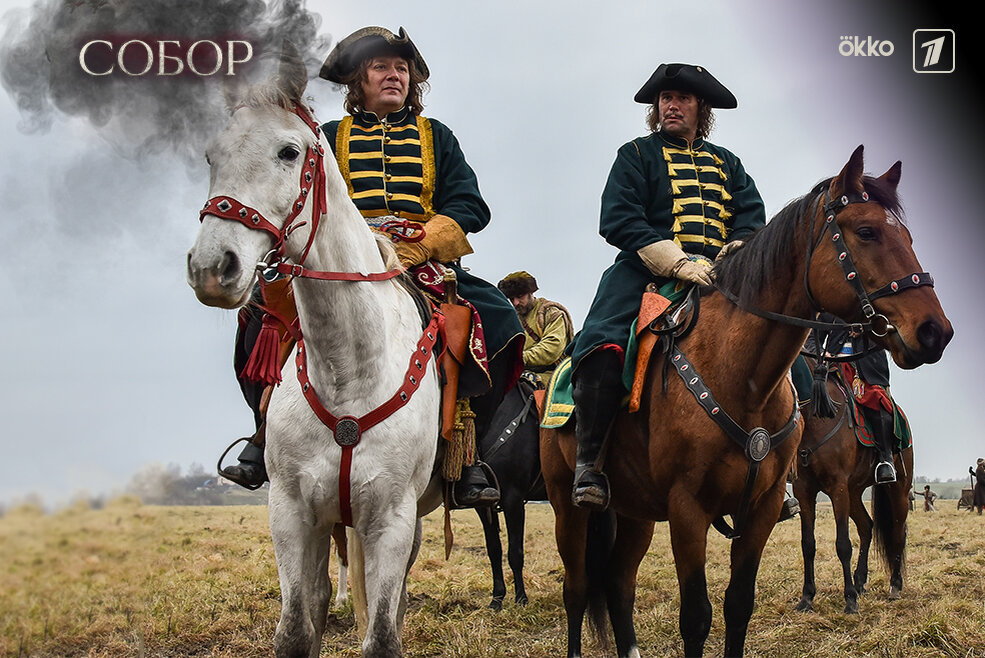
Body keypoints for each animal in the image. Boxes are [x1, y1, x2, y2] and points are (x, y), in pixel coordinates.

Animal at [184, 47, 442, 656]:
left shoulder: (392, 518)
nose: (212, 267)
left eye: (289, 150)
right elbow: (298, 628)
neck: (348, 368)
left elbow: (383, 634)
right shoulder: (293, 514)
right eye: (211, 155)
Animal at [474, 374, 548, 608]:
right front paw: (497, 598)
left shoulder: (513, 500)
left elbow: (515, 552)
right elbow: (494, 549)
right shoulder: (484, 504)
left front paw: (521, 598)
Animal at [792, 362, 916, 612]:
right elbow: (808, 544)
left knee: (898, 533)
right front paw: (807, 597)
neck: (816, 416)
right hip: (854, 492)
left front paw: (849, 599)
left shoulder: (837, 488)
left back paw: (894, 585)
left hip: (898, 490)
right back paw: (860, 580)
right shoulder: (804, 491)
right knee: (866, 526)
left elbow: (843, 544)